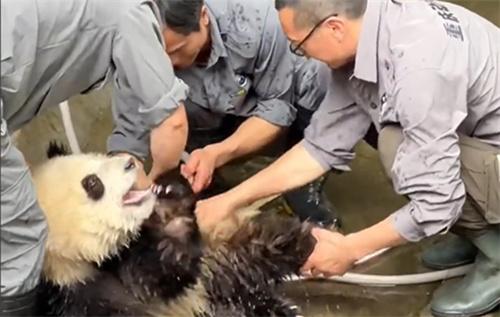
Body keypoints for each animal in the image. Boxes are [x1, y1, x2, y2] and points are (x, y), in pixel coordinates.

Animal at [35, 144, 316, 316]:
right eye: (93, 183)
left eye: (99, 156)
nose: (129, 163)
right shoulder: (78, 297)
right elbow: (156, 285)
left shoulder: (128, 254)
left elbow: (159, 272)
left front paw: (170, 201)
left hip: (220, 259)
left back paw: (297, 242)